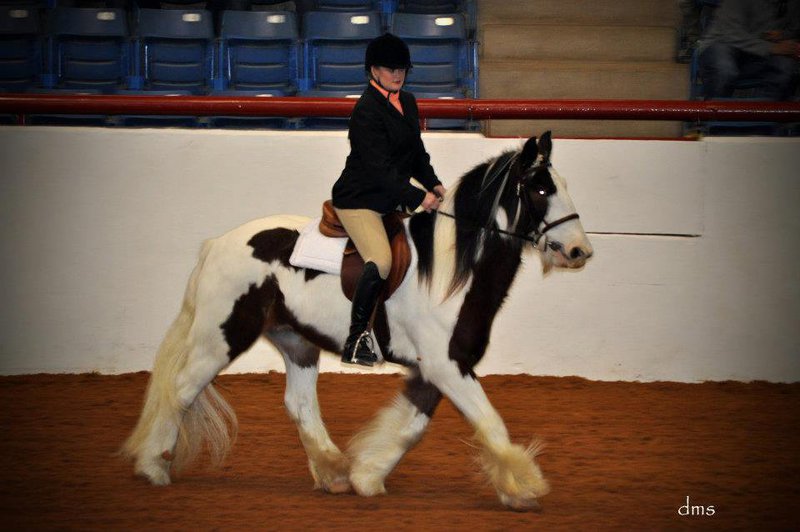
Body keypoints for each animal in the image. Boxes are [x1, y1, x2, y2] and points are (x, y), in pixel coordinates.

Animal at [121, 131, 593, 511]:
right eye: (541, 188)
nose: (580, 251)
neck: (450, 274)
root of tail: (219, 244)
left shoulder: (437, 368)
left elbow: (412, 427)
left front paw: (367, 475)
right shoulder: (447, 366)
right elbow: (489, 422)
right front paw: (524, 486)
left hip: (296, 341)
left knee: (299, 403)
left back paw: (334, 473)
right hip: (221, 338)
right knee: (182, 389)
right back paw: (153, 466)